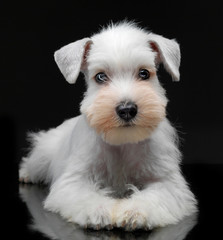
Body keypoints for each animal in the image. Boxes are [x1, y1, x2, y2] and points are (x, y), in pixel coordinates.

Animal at [18, 22, 197, 231]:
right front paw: (99, 212)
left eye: (144, 73)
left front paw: (135, 212)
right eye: (100, 77)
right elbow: (84, 195)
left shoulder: (167, 182)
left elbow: (154, 196)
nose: (127, 109)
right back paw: (25, 174)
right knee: (32, 162)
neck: (122, 144)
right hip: (43, 154)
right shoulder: (74, 181)